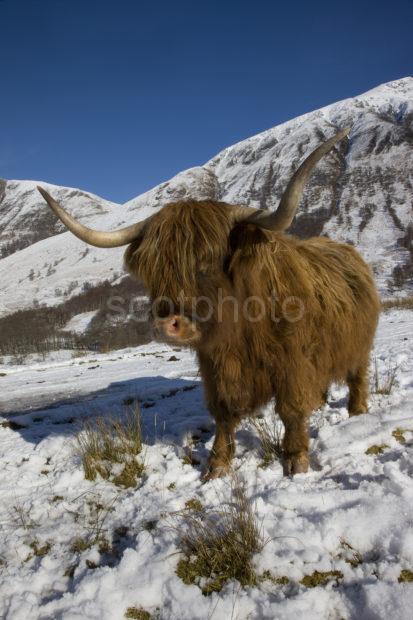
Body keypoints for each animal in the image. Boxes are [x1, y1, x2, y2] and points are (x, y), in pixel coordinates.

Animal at [38, 127, 380, 480]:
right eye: (152, 270)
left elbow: (292, 409)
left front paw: (296, 459)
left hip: (359, 345)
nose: (167, 324)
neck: (242, 331)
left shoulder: (293, 364)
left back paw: (358, 412)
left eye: (207, 263)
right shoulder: (216, 367)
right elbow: (224, 413)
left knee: (357, 375)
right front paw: (217, 464)